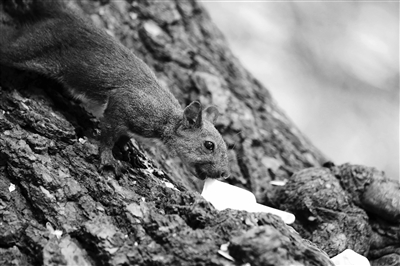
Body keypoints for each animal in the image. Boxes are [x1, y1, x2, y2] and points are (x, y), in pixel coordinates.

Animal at [0, 0, 228, 179]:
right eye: (209, 145)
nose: (224, 174)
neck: (167, 119)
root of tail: (65, 15)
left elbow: (124, 136)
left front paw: (126, 147)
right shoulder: (128, 104)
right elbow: (109, 131)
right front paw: (109, 158)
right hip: (34, 48)